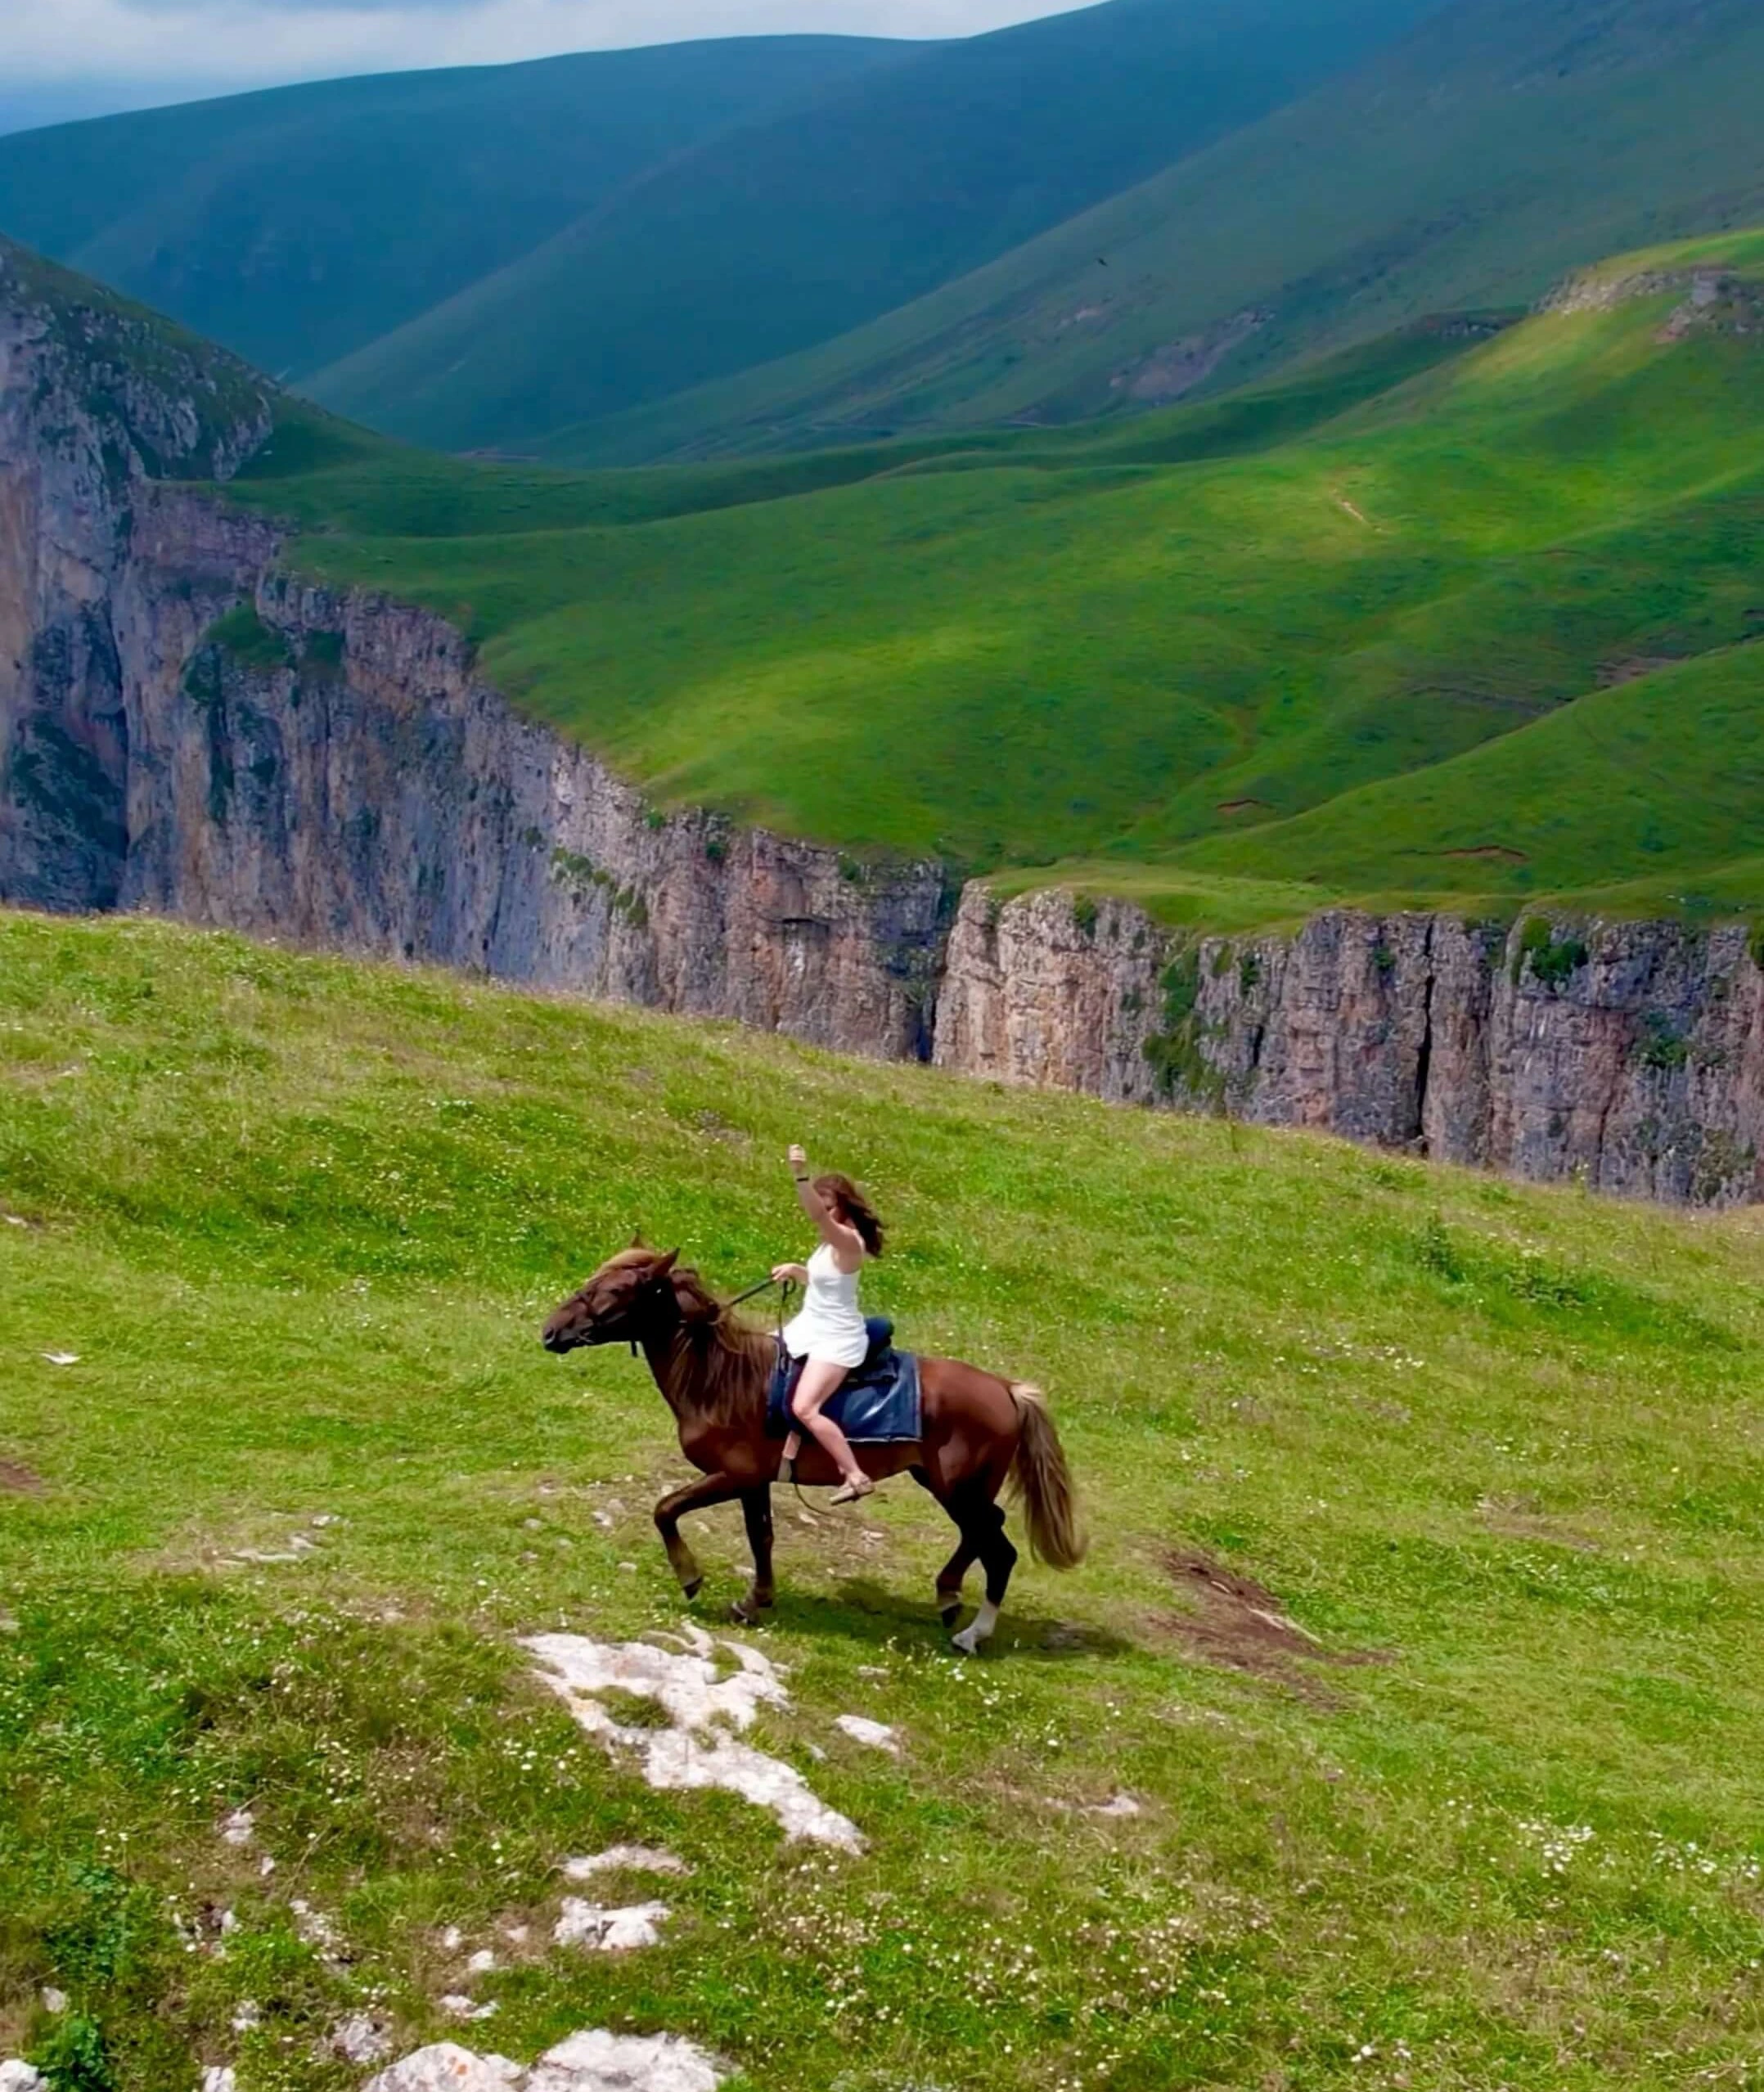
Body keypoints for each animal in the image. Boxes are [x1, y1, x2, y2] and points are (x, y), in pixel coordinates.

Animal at [542, 1246, 1086, 1653]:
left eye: (615, 1290)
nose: (551, 1331)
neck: (722, 1381)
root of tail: (1006, 1389)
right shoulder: (755, 1481)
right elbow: (760, 1537)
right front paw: (755, 1601)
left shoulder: (732, 1476)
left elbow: (665, 1509)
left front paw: (691, 1577)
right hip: (946, 1485)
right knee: (985, 1537)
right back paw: (952, 1600)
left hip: (959, 1489)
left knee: (997, 1548)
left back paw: (969, 1626)